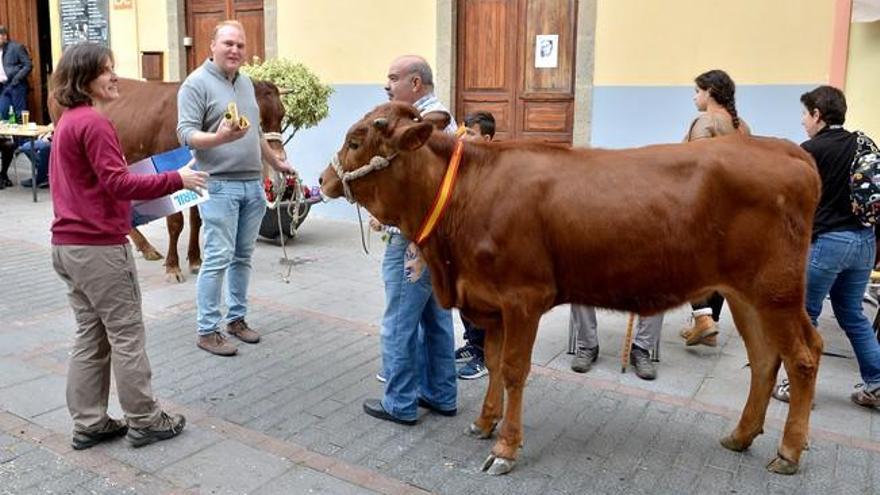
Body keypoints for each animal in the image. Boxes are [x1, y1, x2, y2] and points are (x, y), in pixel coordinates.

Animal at [50, 75, 288, 280]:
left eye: (282, 115)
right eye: (258, 119)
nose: (280, 158)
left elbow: (196, 219)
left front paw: (195, 259)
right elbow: (175, 222)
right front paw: (173, 266)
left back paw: (144, 246)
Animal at [322, 101, 824, 476]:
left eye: (355, 140)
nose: (325, 179)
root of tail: (786, 150)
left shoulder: (523, 297)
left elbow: (513, 371)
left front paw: (506, 448)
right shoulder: (489, 299)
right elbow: (493, 360)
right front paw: (484, 423)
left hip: (776, 291)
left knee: (802, 357)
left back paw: (789, 452)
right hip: (745, 294)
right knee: (765, 359)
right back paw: (740, 436)